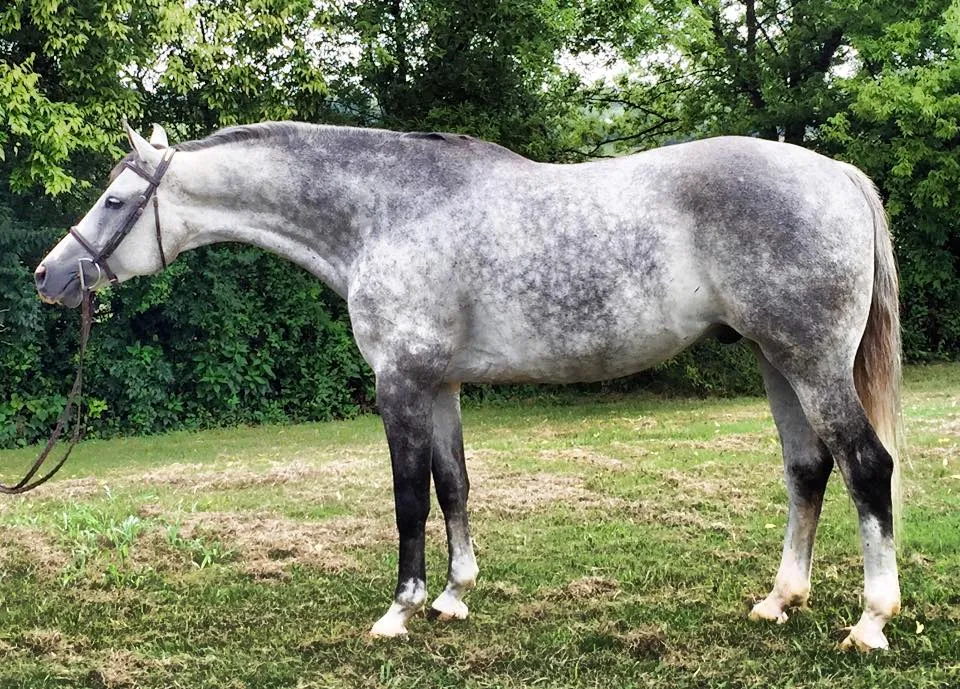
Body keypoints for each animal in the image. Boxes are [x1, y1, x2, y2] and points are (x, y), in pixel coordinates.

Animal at [35, 120, 903, 651]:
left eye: (116, 199)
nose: (49, 275)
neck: (384, 213)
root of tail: (835, 174)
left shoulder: (399, 383)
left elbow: (408, 497)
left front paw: (400, 609)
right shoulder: (441, 383)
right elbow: (453, 484)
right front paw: (455, 594)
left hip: (811, 362)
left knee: (866, 466)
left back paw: (871, 620)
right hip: (776, 361)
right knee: (808, 469)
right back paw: (780, 599)